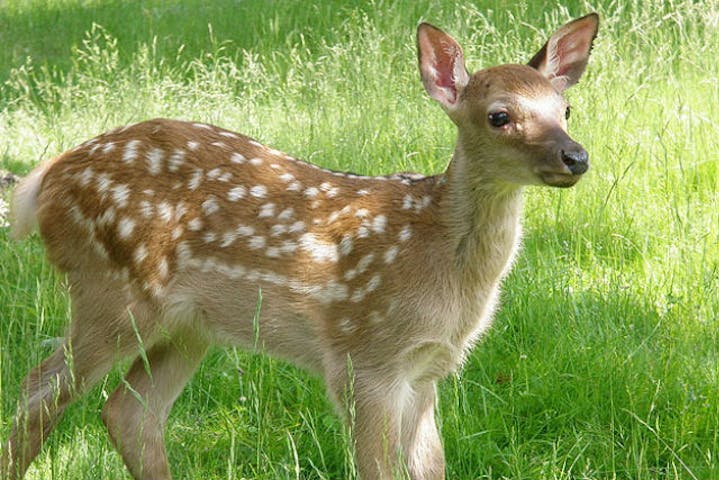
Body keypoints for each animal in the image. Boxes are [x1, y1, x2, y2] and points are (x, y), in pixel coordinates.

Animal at [2, 14, 600, 480]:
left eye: (566, 109)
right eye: (499, 115)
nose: (576, 157)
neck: (440, 260)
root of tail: (46, 179)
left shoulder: (427, 369)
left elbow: (432, 468)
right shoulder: (365, 358)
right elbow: (376, 467)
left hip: (190, 325)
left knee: (129, 413)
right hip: (110, 291)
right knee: (38, 393)